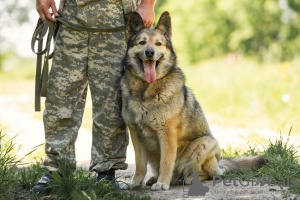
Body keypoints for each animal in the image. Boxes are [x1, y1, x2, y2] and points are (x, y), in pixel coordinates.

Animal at [119, 10, 264, 191]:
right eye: (142, 42)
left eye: (159, 44)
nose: (150, 52)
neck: (146, 89)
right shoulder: (136, 134)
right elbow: (140, 165)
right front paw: (135, 184)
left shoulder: (167, 133)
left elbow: (166, 162)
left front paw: (162, 183)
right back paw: (155, 178)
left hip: (206, 143)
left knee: (211, 174)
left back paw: (187, 178)